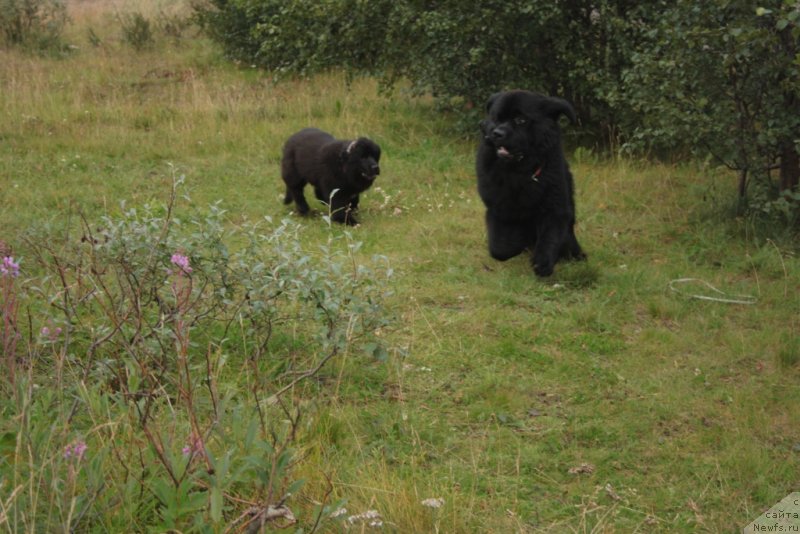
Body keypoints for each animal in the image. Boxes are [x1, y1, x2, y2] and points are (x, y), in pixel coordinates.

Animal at [478, 90, 584, 278]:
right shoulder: (498, 208)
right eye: (497, 118)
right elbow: (500, 248)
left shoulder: (555, 208)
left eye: (521, 120)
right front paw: (517, 247)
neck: (519, 171)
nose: (497, 133)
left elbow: (550, 238)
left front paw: (543, 263)